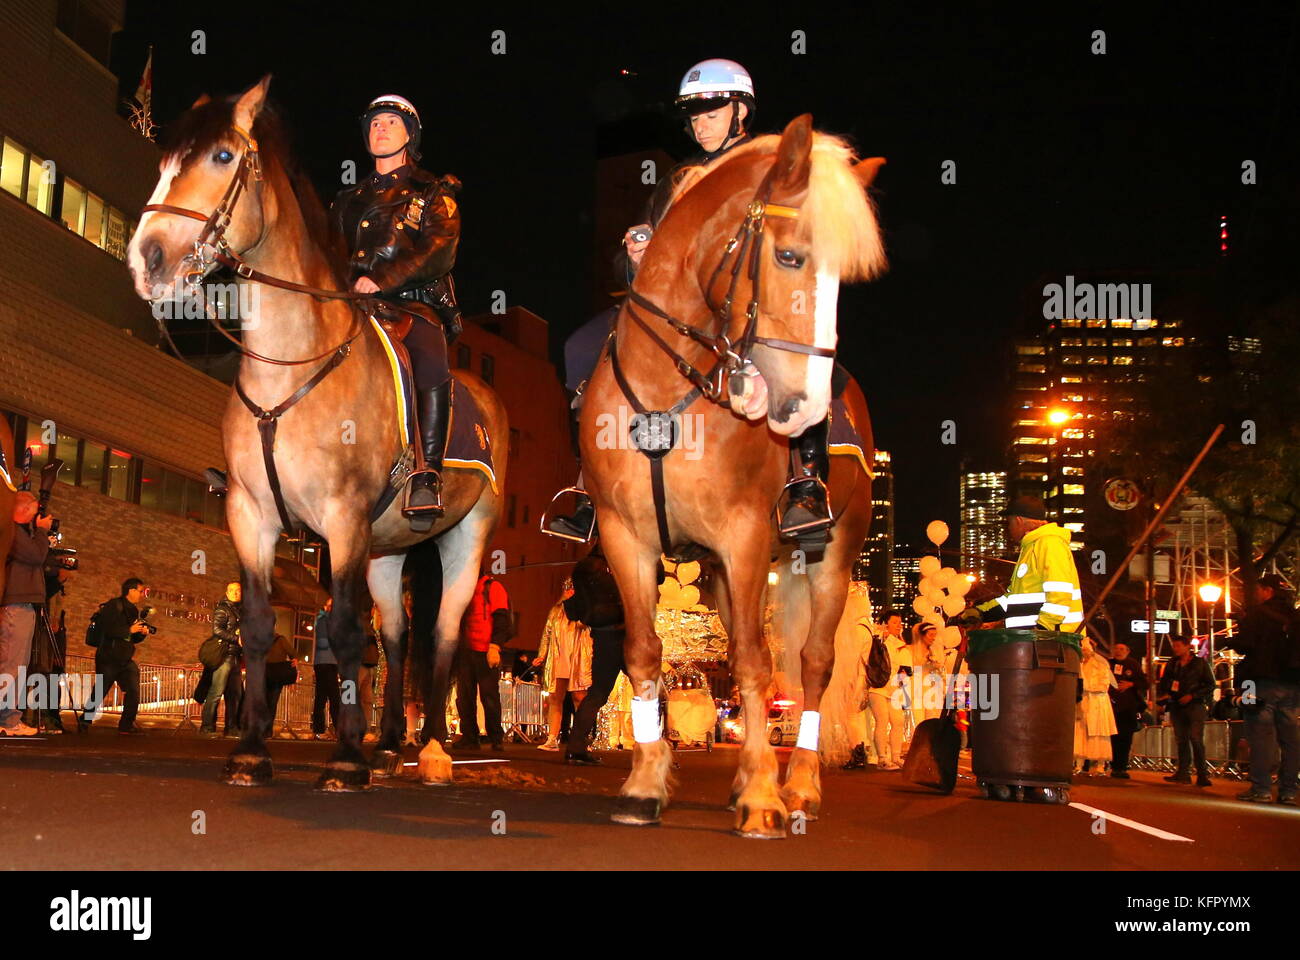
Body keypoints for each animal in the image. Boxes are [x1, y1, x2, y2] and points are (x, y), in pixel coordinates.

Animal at [125, 78, 501, 790]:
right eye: (162, 163)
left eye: (222, 156)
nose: (147, 259)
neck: (290, 366)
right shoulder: (252, 516)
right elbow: (259, 626)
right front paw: (252, 751)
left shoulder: (343, 518)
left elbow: (348, 632)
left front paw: (345, 760)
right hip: (386, 552)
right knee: (398, 637)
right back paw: (389, 743)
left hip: (464, 536)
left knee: (440, 635)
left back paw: (432, 750)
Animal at [585, 111, 889, 832]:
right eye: (790, 257)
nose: (804, 405)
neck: (667, 392)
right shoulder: (626, 537)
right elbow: (645, 652)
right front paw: (646, 781)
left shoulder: (746, 534)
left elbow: (755, 661)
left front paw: (761, 796)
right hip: (723, 574)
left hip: (833, 554)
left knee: (811, 663)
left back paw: (798, 782)